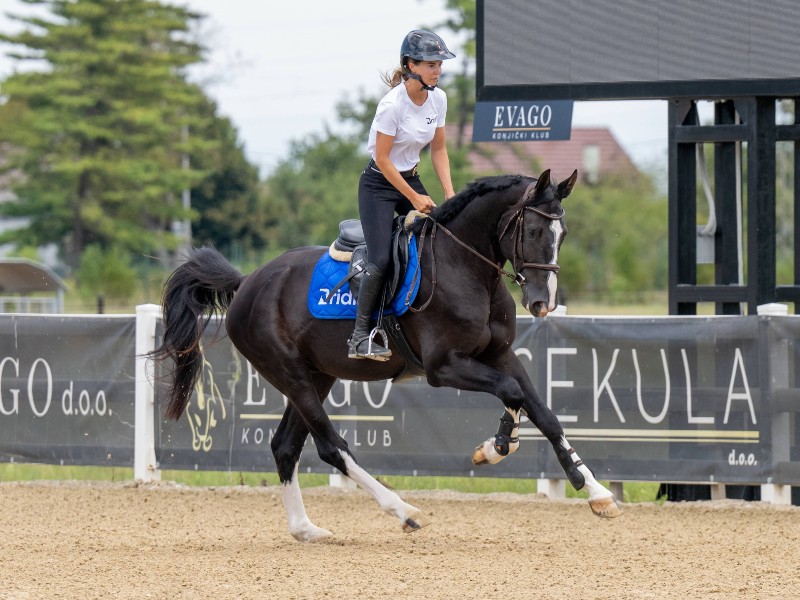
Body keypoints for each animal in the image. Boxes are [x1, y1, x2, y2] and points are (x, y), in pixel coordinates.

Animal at [152, 169, 622, 542]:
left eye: (563, 235)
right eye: (534, 232)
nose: (543, 303)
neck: (464, 265)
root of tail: (248, 281)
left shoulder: (501, 355)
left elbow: (542, 411)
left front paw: (594, 490)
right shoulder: (444, 367)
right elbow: (512, 393)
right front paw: (497, 447)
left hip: (317, 376)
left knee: (285, 445)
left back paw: (305, 529)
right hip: (291, 375)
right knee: (331, 447)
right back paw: (403, 510)